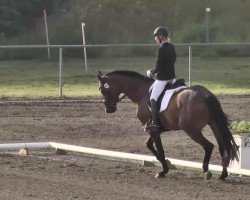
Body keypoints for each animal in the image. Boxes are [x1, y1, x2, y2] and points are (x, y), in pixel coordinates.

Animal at [97, 70, 238, 180]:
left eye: (102, 89)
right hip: (214, 125)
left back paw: (206, 171)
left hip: (191, 130)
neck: (141, 92)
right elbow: (149, 145)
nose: (108, 109)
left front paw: (163, 170)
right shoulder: (156, 129)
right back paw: (223, 175)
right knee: (222, 148)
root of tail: (205, 94)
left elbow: (160, 148)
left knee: (209, 146)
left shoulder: (153, 130)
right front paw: (165, 164)